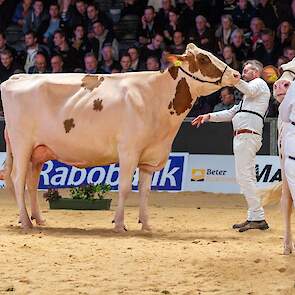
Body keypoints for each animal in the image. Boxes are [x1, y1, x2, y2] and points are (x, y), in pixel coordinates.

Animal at [0, 44, 240, 234]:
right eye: (203, 58)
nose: (237, 74)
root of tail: (17, 77)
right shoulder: (129, 150)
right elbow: (125, 187)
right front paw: (119, 224)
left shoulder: (149, 156)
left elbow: (145, 191)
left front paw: (146, 224)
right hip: (22, 145)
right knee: (18, 179)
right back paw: (26, 222)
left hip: (38, 152)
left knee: (31, 183)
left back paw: (38, 220)